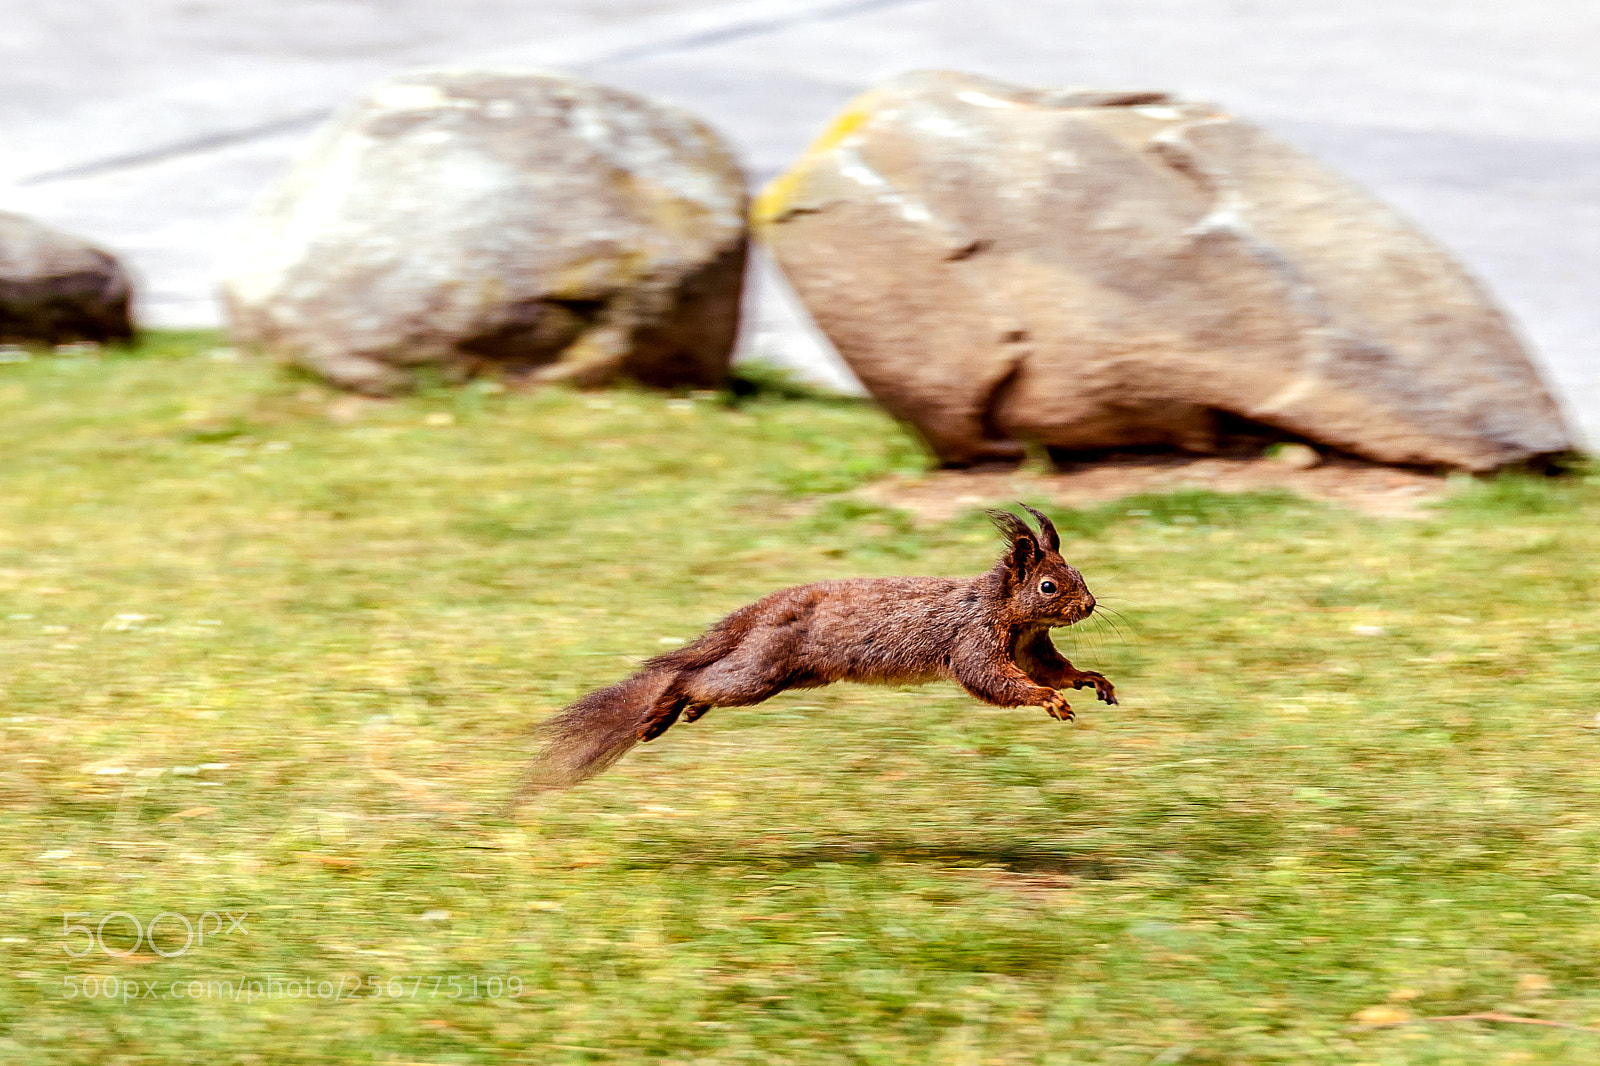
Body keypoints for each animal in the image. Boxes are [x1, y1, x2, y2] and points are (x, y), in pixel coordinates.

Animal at [514, 504, 1116, 799]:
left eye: (1079, 575)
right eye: (1049, 587)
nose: (1090, 605)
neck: (1007, 611)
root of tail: (763, 609)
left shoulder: (1032, 647)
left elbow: (1053, 669)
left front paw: (1091, 680)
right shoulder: (973, 642)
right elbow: (996, 680)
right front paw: (1050, 702)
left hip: (787, 675)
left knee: (705, 679)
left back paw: (687, 710)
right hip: (760, 670)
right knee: (692, 676)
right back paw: (665, 709)